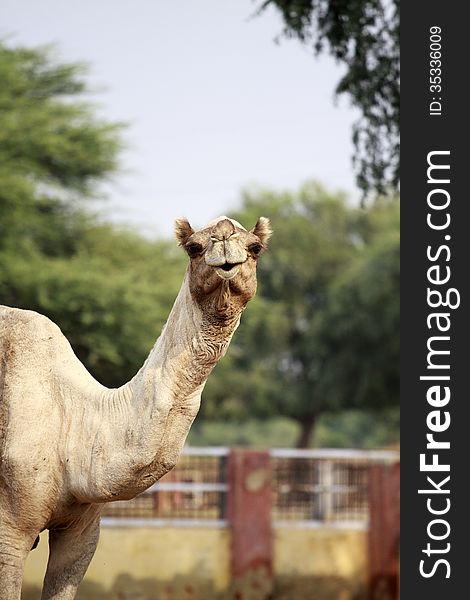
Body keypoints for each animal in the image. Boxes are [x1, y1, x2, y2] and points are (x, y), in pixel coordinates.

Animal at [0, 216, 272, 600]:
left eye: (255, 247)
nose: (224, 240)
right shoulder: (10, 528)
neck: (75, 418)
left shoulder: (82, 530)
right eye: (194, 247)